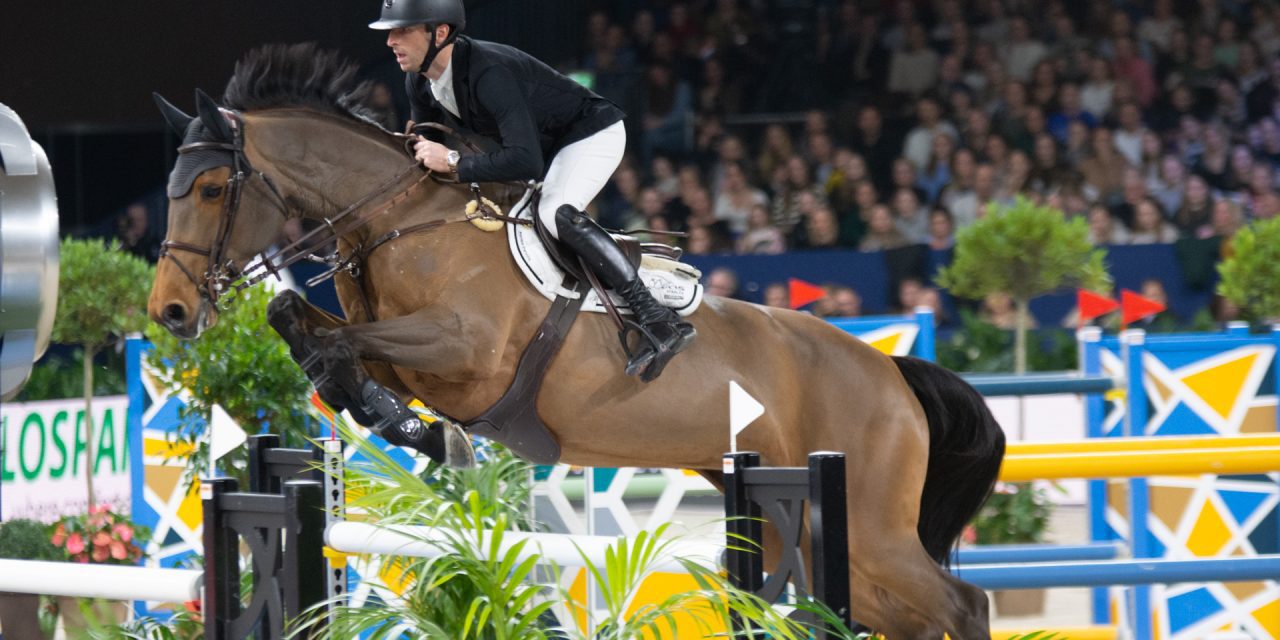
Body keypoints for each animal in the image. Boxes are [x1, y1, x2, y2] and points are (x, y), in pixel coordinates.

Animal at [149, 42, 1003, 637]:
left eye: (213, 189)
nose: (170, 313)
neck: (397, 221)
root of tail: (891, 372)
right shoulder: (393, 347)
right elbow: (302, 326)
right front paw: (411, 428)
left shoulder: (465, 354)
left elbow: (333, 345)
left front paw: (414, 429)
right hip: (825, 539)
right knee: (916, 614)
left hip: (865, 521)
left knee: (962, 606)